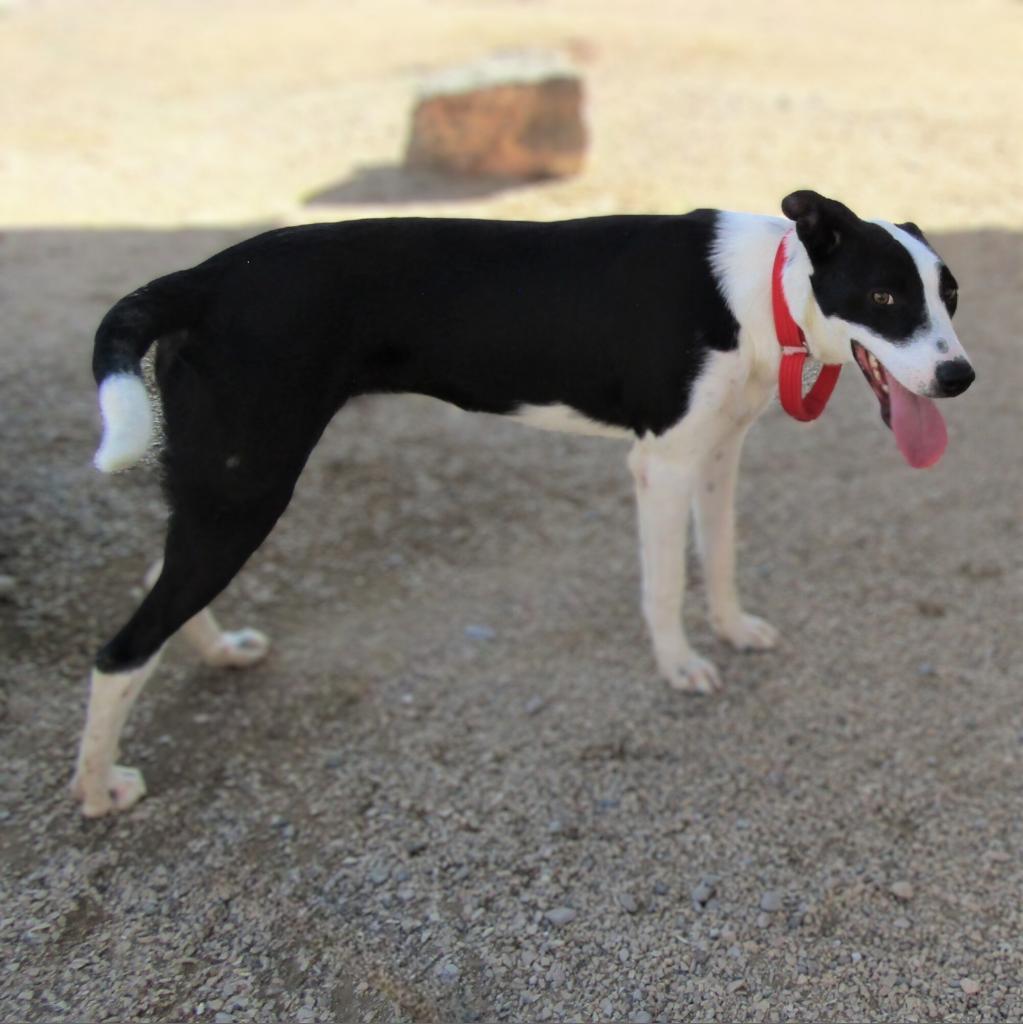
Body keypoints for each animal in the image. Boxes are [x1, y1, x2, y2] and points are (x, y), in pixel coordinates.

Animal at [70, 192, 974, 815]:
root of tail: (203, 278)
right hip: (248, 488)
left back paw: (217, 655)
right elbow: (663, 587)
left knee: (157, 583)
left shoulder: (717, 455)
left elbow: (716, 557)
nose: (959, 376)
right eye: (886, 299)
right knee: (121, 650)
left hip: (224, 489)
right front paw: (679, 665)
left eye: (951, 296)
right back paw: (96, 788)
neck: (758, 293)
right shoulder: (661, 465)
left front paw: (731, 627)